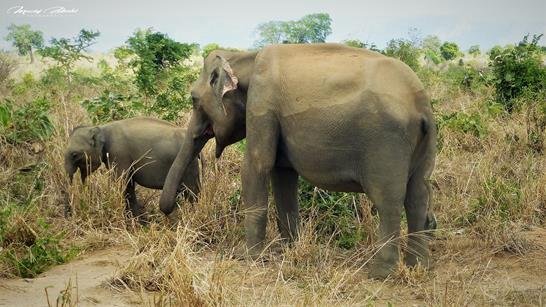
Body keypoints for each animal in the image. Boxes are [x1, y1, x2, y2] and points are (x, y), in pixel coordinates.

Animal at [64, 116, 200, 220]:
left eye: (74, 155)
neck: (101, 128)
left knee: (191, 192)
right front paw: (137, 221)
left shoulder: (118, 153)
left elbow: (120, 183)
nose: (69, 214)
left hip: (189, 166)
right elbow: (128, 185)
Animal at [159, 43, 436, 280]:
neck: (244, 56)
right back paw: (418, 266)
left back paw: (380, 273)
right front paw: (288, 250)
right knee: (418, 195)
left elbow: (257, 165)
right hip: (422, 144)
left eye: (193, 99)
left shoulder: (262, 104)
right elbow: (282, 174)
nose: (169, 213)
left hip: (387, 143)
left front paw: (247, 256)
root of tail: (422, 105)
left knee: (388, 200)